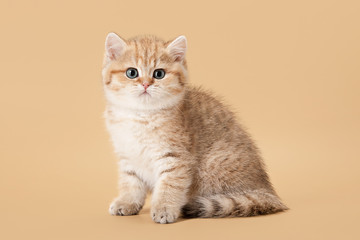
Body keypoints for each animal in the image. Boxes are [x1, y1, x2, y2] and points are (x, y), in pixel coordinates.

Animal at [101, 32, 286, 224]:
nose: (146, 84)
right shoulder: (128, 156)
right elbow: (130, 183)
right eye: (132, 73)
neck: (140, 115)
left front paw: (164, 208)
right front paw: (127, 202)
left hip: (212, 167)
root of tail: (267, 190)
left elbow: (169, 185)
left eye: (159, 74)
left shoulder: (175, 158)